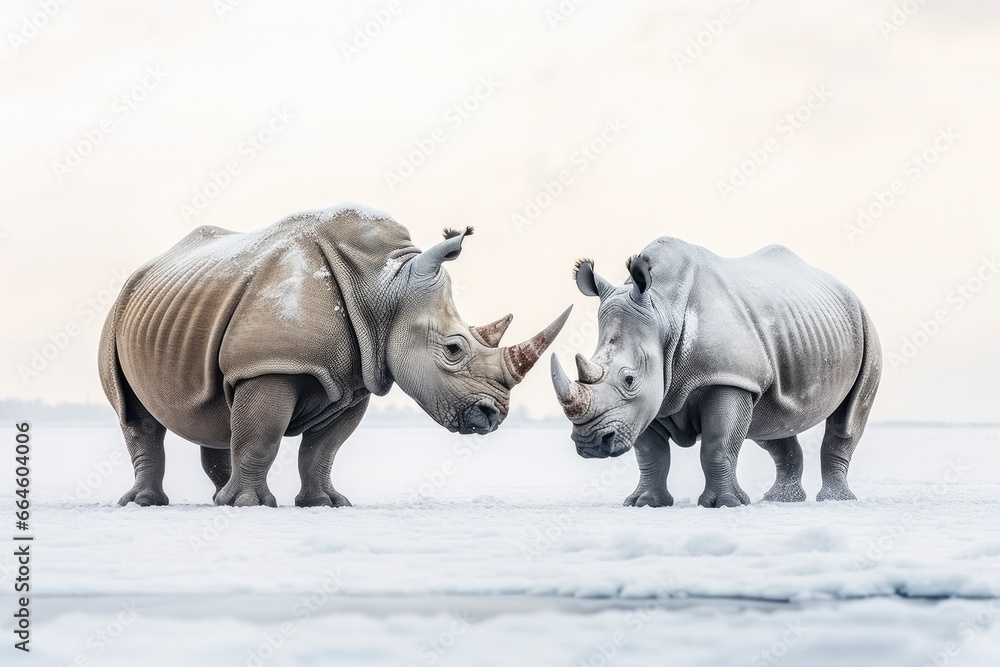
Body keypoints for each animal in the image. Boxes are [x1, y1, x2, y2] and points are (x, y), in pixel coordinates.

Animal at [100, 204, 570, 507]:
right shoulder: (270, 366)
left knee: (215, 409)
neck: (387, 284)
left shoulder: (356, 378)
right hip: (118, 312)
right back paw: (147, 503)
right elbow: (262, 437)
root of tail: (146, 269)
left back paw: (216, 496)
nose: (494, 416)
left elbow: (323, 449)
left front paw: (326, 503)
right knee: (134, 412)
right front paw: (251, 506)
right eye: (454, 349)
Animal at [551, 238, 881, 508]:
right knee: (770, 423)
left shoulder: (728, 378)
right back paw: (781, 499)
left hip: (865, 329)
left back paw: (836, 500)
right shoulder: (653, 395)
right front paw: (644, 503)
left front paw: (725, 504)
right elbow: (650, 453)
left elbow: (717, 444)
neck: (662, 311)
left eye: (629, 379)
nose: (590, 444)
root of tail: (844, 289)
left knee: (848, 418)